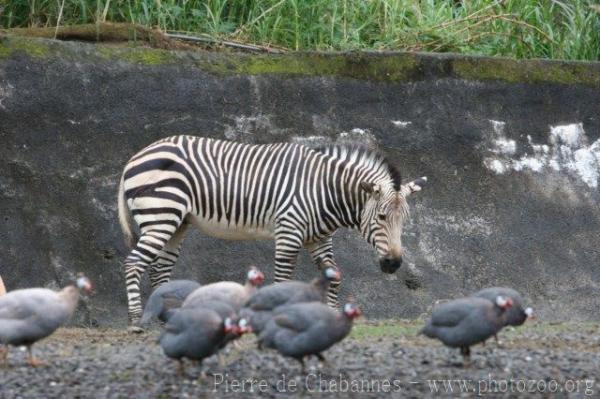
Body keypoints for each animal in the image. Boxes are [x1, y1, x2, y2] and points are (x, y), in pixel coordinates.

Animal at [118, 136, 426, 326]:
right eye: (382, 217)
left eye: (405, 220)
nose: (393, 264)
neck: (324, 190)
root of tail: (136, 156)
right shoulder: (289, 231)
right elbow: (282, 279)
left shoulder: (318, 239)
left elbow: (335, 275)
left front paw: (331, 314)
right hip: (161, 216)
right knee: (133, 263)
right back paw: (135, 319)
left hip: (177, 223)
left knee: (159, 270)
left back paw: (168, 317)